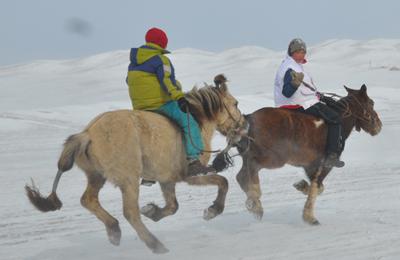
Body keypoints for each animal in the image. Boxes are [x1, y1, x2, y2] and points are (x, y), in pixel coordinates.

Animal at [25, 74, 244, 254]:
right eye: (235, 103)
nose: (243, 127)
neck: (198, 118)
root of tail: (87, 134)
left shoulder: (167, 179)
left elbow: (172, 206)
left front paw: (153, 211)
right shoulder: (189, 176)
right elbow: (222, 182)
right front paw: (212, 210)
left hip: (97, 176)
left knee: (88, 200)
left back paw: (114, 230)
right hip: (128, 180)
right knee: (130, 212)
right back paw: (155, 245)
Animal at [236, 84, 382, 224]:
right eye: (371, 103)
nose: (378, 126)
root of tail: (249, 119)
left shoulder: (310, 165)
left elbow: (316, 186)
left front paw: (301, 186)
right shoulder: (326, 164)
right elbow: (317, 187)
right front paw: (310, 217)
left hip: (252, 157)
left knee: (241, 176)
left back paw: (254, 203)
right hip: (274, 158)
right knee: (251, 168)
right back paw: (255, 203)